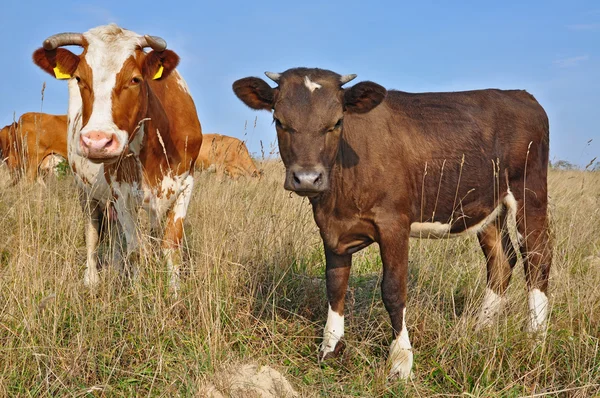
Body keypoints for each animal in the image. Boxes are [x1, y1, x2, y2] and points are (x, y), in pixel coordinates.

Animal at [232, 67, 552, 380]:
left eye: (337, 122)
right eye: (279, 120)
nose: (308, 178)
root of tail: (519, 94)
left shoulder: (394, 224)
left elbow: (394, 290)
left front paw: (401, 361)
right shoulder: (331, 228)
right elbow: (335, 284)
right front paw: (330, 346)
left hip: (530, 192)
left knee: (537, 258)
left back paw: (535, 337)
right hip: (487, 206)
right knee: (501, 260)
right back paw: (477, 328)